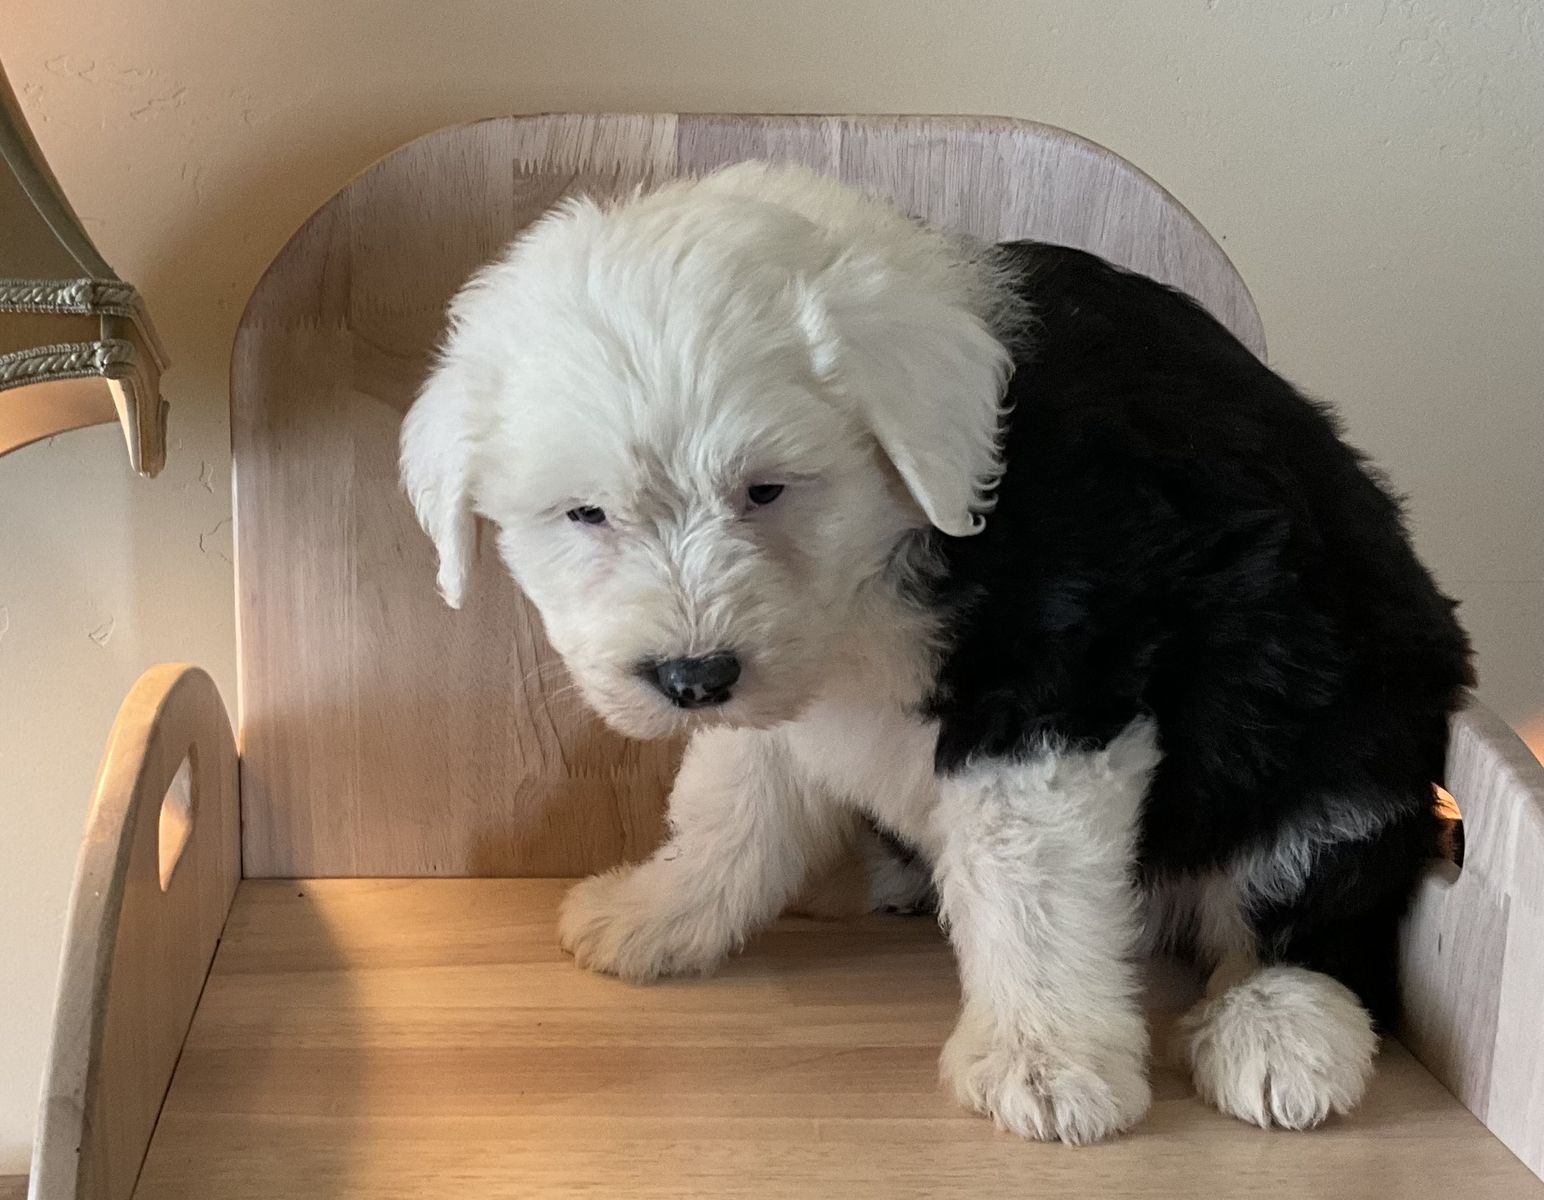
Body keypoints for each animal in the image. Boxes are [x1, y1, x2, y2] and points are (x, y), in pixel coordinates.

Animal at [399, 163, 1473, 1143]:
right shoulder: (785, 677)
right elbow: (733, 798)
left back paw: (1278, 1028)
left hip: (1333, 728)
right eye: (583, 514)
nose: (691, 678)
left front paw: (1047, 1064)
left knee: (1312, 890)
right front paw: (663, 911)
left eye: (767, 489)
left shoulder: (1050, 687)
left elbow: (1027, 879)